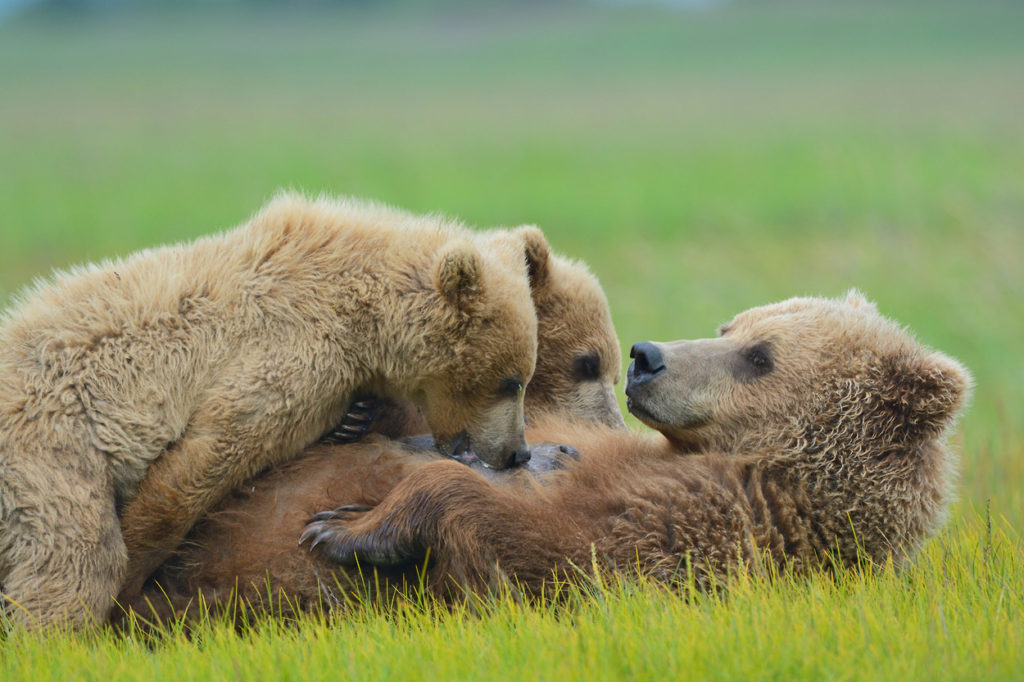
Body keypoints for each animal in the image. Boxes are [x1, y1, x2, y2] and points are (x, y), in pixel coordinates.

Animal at [0, 191, 540, 626]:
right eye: (511, 381)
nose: (518, 452)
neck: (361, 312)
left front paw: (357, 418)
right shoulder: (287, 352)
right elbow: (202, 462)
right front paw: (133, 582)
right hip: (49, 450)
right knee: (73, 558)